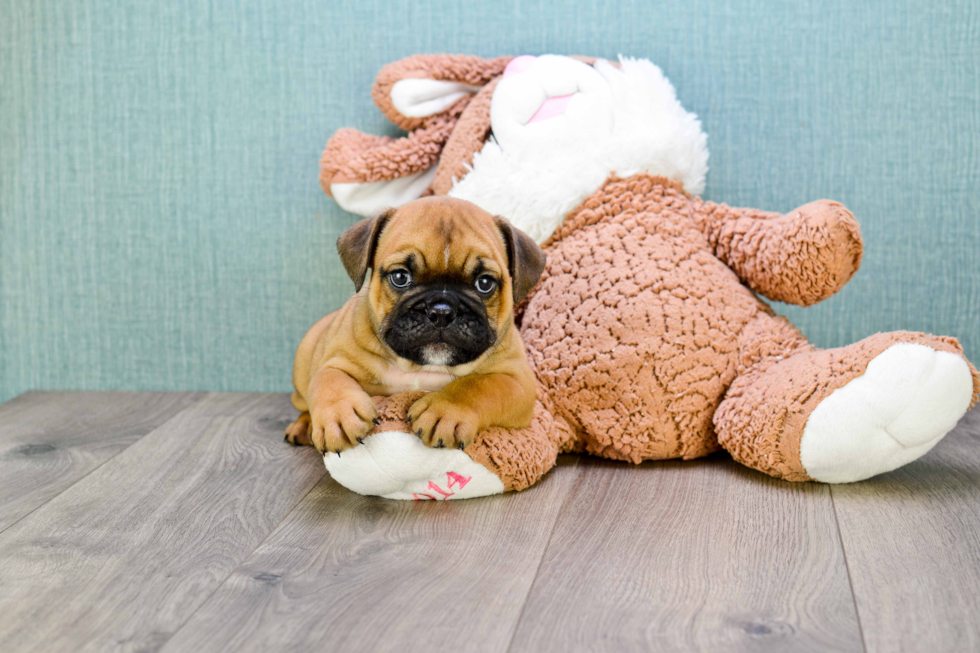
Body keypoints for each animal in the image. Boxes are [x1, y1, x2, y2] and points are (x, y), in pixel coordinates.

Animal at [284, 196, 548, 456]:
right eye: (400, 277)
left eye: (484, 283)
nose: (441, 311)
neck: (420, 367)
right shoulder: (336, 362)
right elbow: (329, 380)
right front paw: (339, 414)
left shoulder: (517, 380)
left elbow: (479, 385)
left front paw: (445, 410)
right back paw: (303, 425)